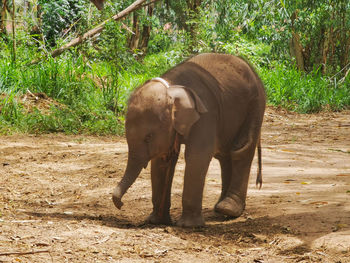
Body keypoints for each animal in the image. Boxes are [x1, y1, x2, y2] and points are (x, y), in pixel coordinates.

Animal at [112, 52, 266, 228]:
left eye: (148, 137)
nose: (120, 204)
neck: (172, 88)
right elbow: (162, 160)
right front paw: (156, 221)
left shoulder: (206, 114)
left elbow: (197, 156)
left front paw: (188, 225)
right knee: (225, 155)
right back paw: (220, 209)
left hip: (255, 105)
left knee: (242, 149)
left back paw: (228, 209)